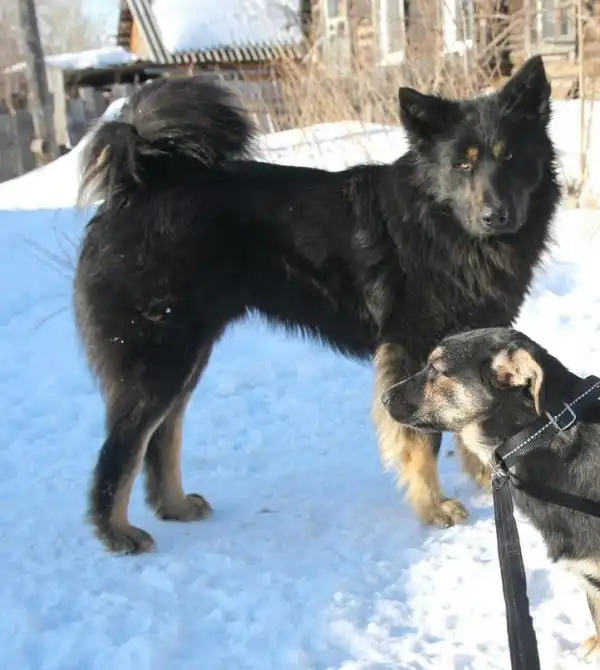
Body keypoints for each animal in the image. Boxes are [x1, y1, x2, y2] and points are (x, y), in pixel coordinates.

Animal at [74, 54, 560, 554]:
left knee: (162, 435)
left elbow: (469, 423)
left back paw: (173, 505)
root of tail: (139, 184)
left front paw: (492, 479)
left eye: (508, 157)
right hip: (158, 357)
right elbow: (420, 440)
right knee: (121, 448)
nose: (494, 215)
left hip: (187, 354)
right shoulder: (411, 346)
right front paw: (435, 507)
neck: (443, 227)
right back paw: (116, 532)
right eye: (462, 164)